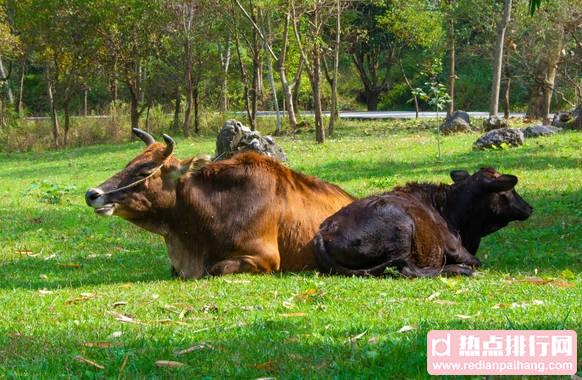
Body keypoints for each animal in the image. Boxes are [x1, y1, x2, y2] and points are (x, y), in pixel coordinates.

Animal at [314, 168, 532, 278]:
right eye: (508, 191)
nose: (529, 207)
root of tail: (323, 231)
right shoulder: (454, 248)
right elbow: (477, 261)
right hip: (402, 228)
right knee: (408, 269)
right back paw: (459, 270)